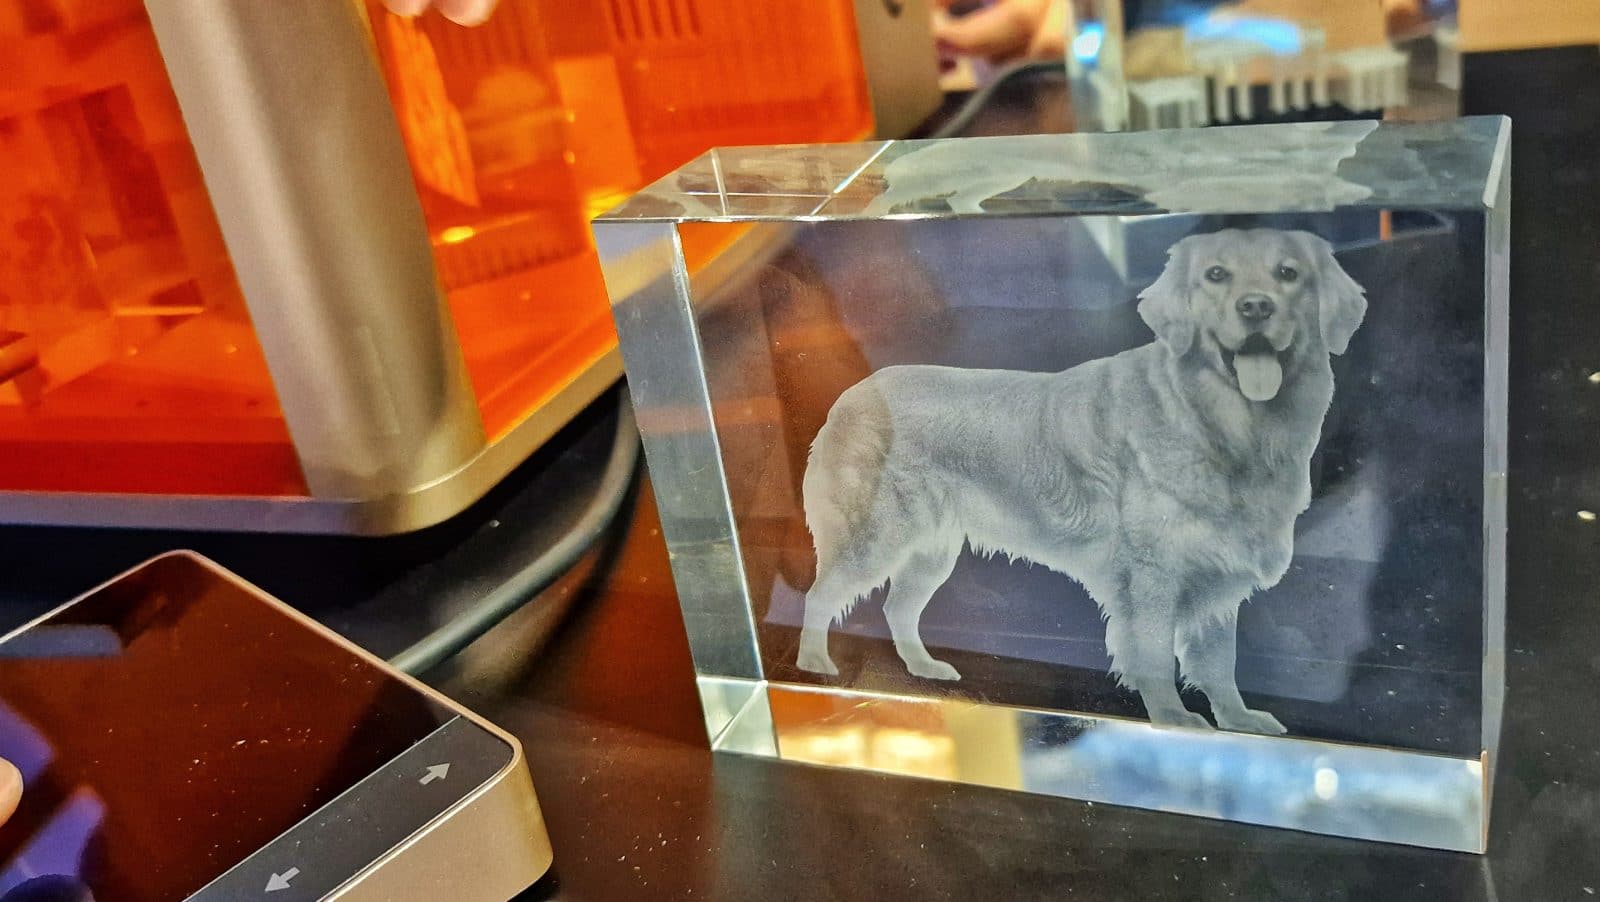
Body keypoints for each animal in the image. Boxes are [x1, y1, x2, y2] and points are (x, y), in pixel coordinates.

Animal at [795, 228, 1367, 733]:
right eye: (1216, 275)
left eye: (1288, 274)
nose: (1256, 308)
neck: (1219, 425)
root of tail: (851, 395)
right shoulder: (1152, 576)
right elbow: (1155, 655)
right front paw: (1174, 717)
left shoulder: (1216, 572)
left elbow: (1220, 664)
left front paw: (1238, 720)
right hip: (876, 538)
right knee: (819, 596)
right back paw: (814, 666)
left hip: (931, 552)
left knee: (898, 608)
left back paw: (924, 668)